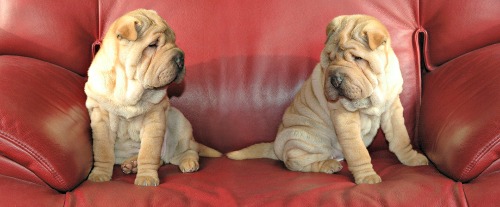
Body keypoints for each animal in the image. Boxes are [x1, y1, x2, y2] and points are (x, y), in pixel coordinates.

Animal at [85, 8, 221, 187]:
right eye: (153, 44)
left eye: (174, 41)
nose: (181, 57)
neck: (129, 90)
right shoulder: (102, 121)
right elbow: (102, 152)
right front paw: (99, 175)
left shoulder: (154, 120)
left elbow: (148, 153)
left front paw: (146, 178)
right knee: (160, 160)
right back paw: (131, 164)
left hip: (178, 122)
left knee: (185, 152)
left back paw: (188, 162)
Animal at [229, 14, 428, 184]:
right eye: (329, 58)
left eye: (358, 58)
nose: (335, 79)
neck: (376, 87)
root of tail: (276, 146)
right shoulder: (345, 117)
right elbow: (358, 152)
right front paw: (367, 177)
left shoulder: (392, 108)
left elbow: (401, 138)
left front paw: (411, 159)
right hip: (304, 138)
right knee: (296, 163)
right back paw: (328, 164)